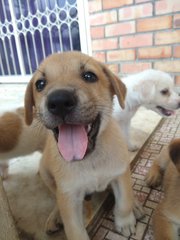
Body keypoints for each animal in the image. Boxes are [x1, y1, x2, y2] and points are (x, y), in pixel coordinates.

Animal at [24, 51, 143, 239]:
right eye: (40, 84)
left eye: (89, 76)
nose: (59, 102)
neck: (90, 159)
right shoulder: (69, 198)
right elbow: (75, 231)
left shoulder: (120, 174)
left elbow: (124, 202)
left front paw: (125, 222)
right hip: (45, 173)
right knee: (55, 196)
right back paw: (55, 216)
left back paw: (136, 205)